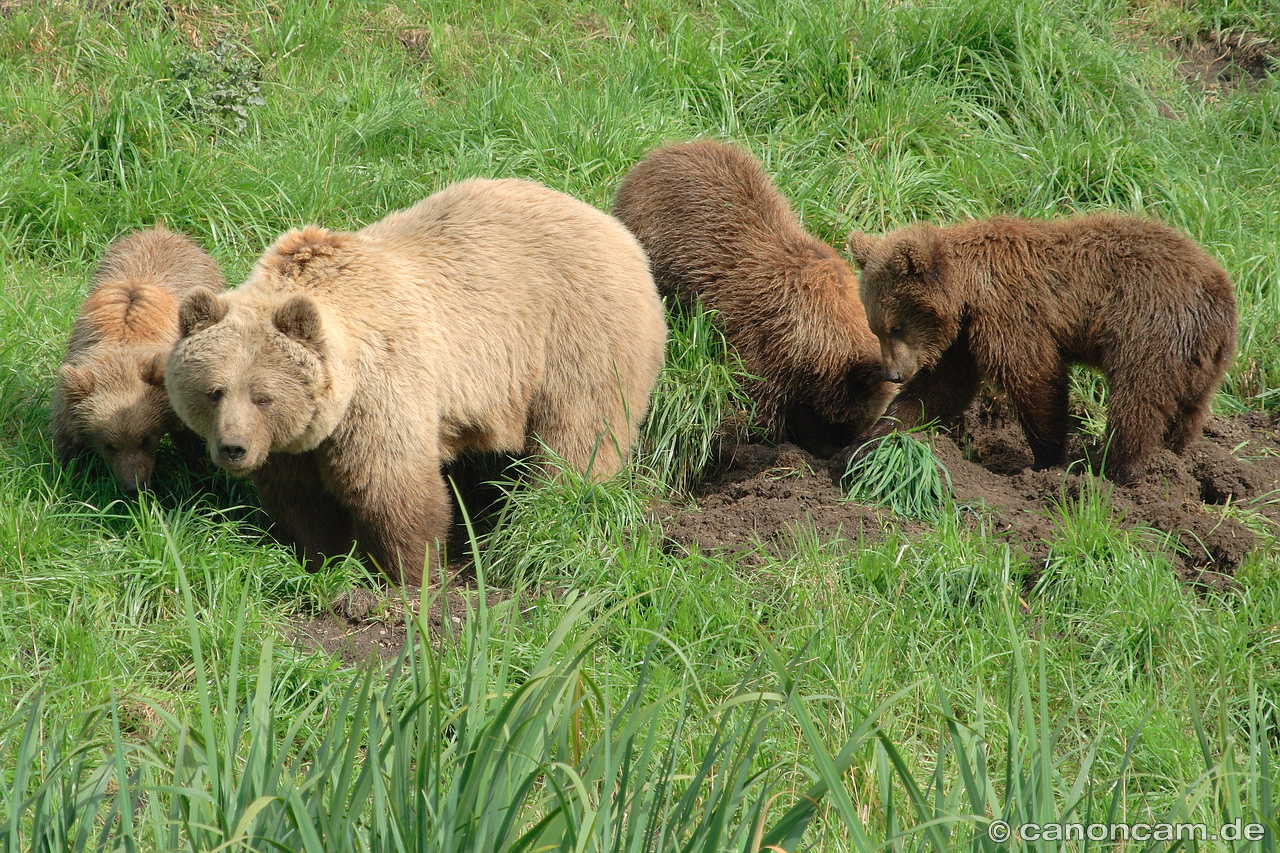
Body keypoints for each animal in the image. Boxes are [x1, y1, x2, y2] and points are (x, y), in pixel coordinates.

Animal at [51, 222, 226, 494]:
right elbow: (67, 441)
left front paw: (201, 478)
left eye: (146, 439)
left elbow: (192, 437)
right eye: (110, 444)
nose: (134, 486)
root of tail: (161, 230)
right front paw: (72, 477)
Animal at [167, 175, 670, 581]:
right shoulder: (292, 442)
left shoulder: (382, 387)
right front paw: (324, 558)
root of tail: (616, 230)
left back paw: (553, 502)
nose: (233, 448)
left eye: (263, 396)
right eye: (214, 392)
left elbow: (392, 484)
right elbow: (301, 499)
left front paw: (411, 571)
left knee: (580, 434)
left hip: (579, 333)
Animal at [609, 139, 890, 455]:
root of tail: (657, 154)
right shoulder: (760, 334)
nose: (827, 454)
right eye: (839, 425)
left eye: (852, 427)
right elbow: (757, 391)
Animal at [849, 211, 1239, 481]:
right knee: (1188, 408)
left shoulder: (1010, 315)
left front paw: (1046, 460)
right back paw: (1172, 456)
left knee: (1137, 399)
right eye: (876, 328)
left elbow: (1036, 378)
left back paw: (1116, 471)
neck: (967, 293)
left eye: (896, 327)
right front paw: (871, 440)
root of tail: (1217, 287)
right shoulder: (964, 340)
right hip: (1202, 357)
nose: (893, 373)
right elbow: (940, 389)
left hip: (1149, 326)